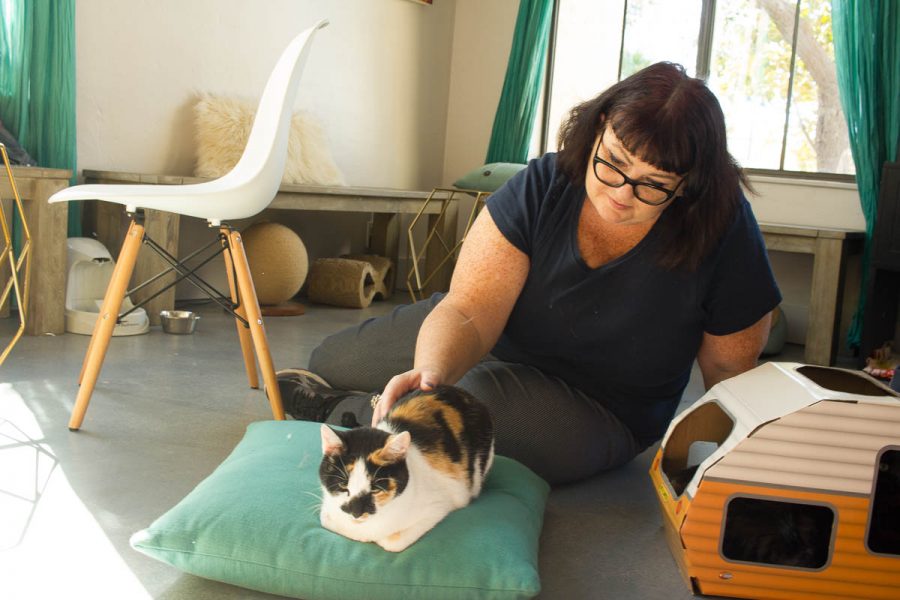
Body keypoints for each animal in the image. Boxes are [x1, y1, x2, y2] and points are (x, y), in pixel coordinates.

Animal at [316, 386, 496, 552]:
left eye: (375, 489)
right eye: (343, 485)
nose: (356, 513)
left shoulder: (438, 506)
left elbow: (392, 542)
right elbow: (325, 518)